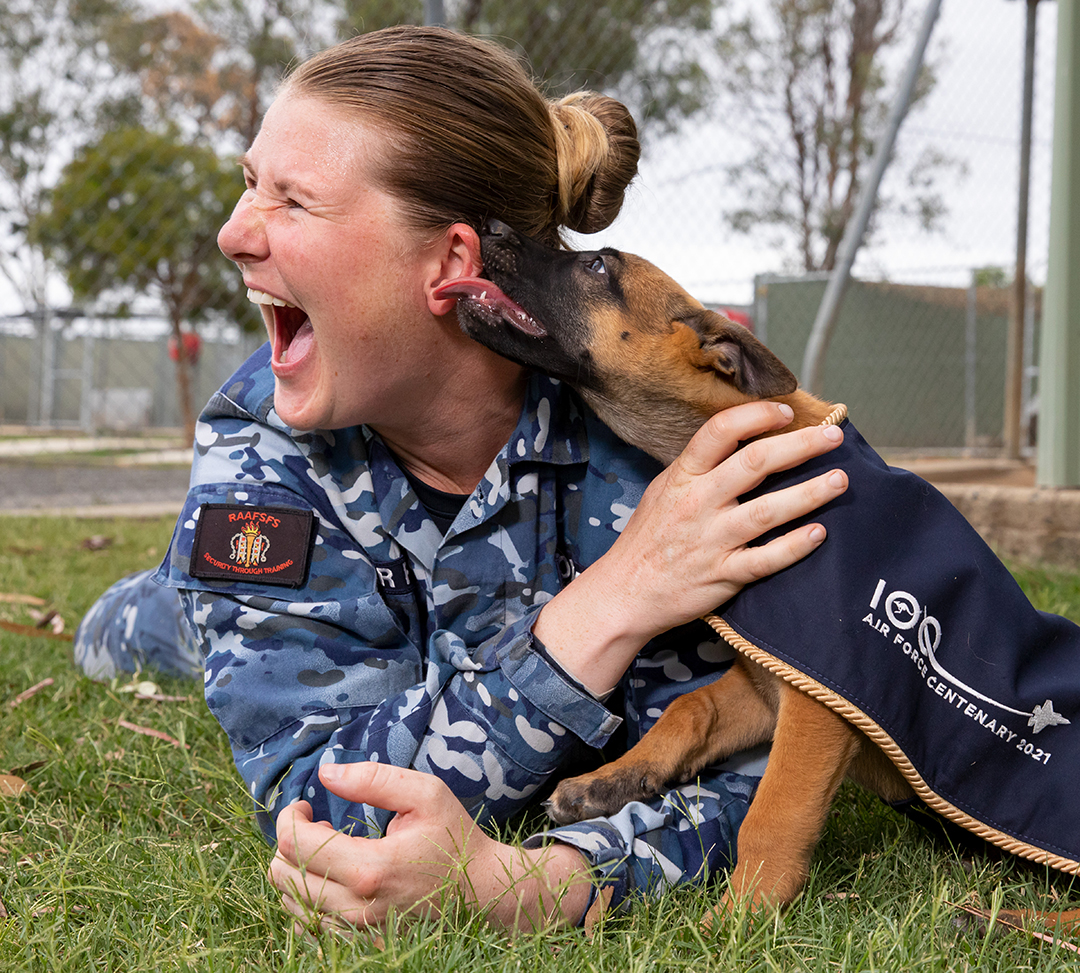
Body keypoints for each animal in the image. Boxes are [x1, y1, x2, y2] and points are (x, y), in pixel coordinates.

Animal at [434, 218, 1080, 911]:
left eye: (598, 266)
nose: (489, 226)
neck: (755, 452)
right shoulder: (768, 685)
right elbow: (690, 710)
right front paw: (611, 783)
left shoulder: (822, 704)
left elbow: (773, 813)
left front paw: (741, 915)